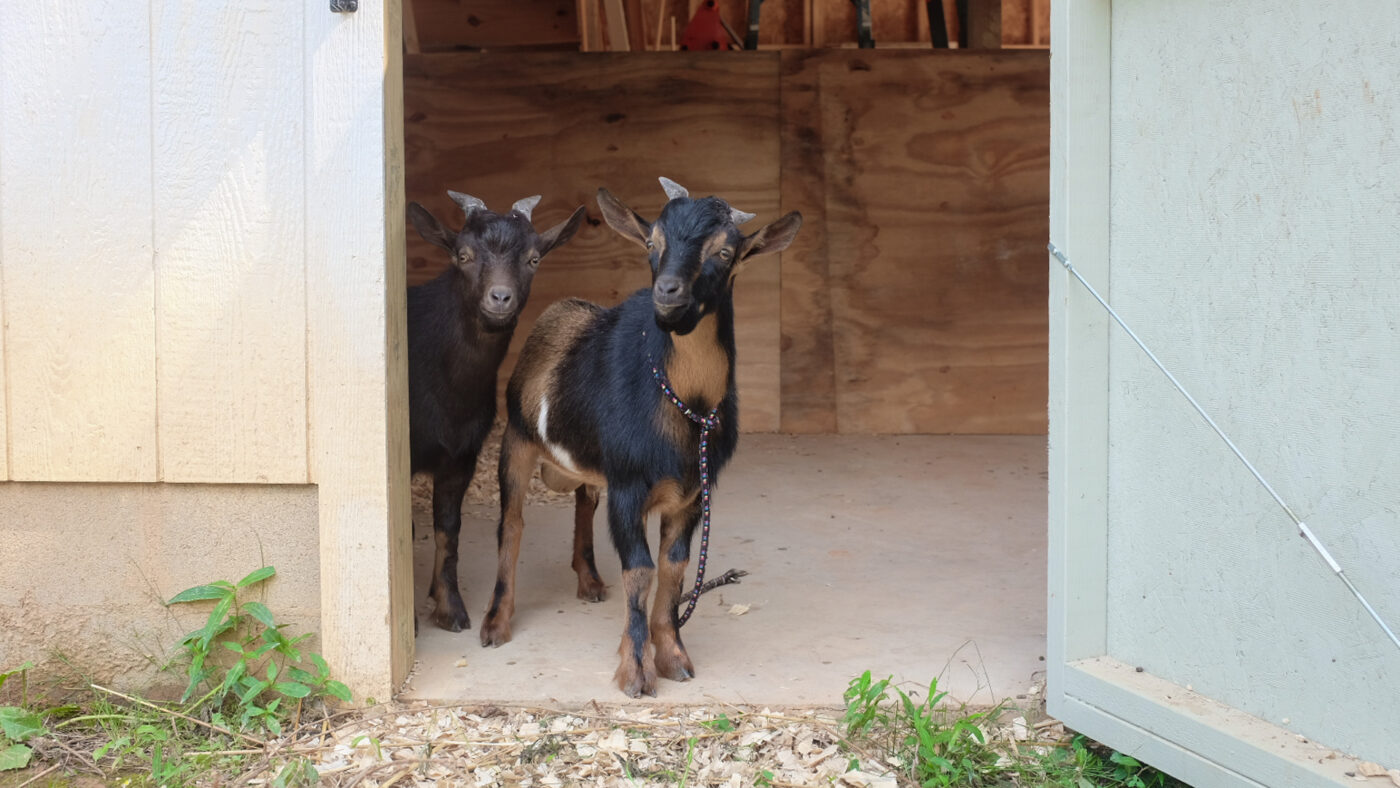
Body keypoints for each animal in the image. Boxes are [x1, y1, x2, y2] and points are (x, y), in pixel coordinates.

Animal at [406, 190, 587, 632]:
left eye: (534, 258)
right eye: (463, 255)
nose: (500, 298)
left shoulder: (461, 455)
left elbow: (448, 529)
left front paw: (450, 607)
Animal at [479, 177, 801, 697]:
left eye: (725, 251)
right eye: (652, 242)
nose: (667, 291)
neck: (686, 403)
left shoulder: (692, 494)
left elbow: (674, 569)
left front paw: (672, 655)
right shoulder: (629, 487)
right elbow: (641, 570)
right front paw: (634, 671)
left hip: (591, 465)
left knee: (584, 501)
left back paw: (589, 581)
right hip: (518, 441)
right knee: (511, 524)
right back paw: (495, 623)